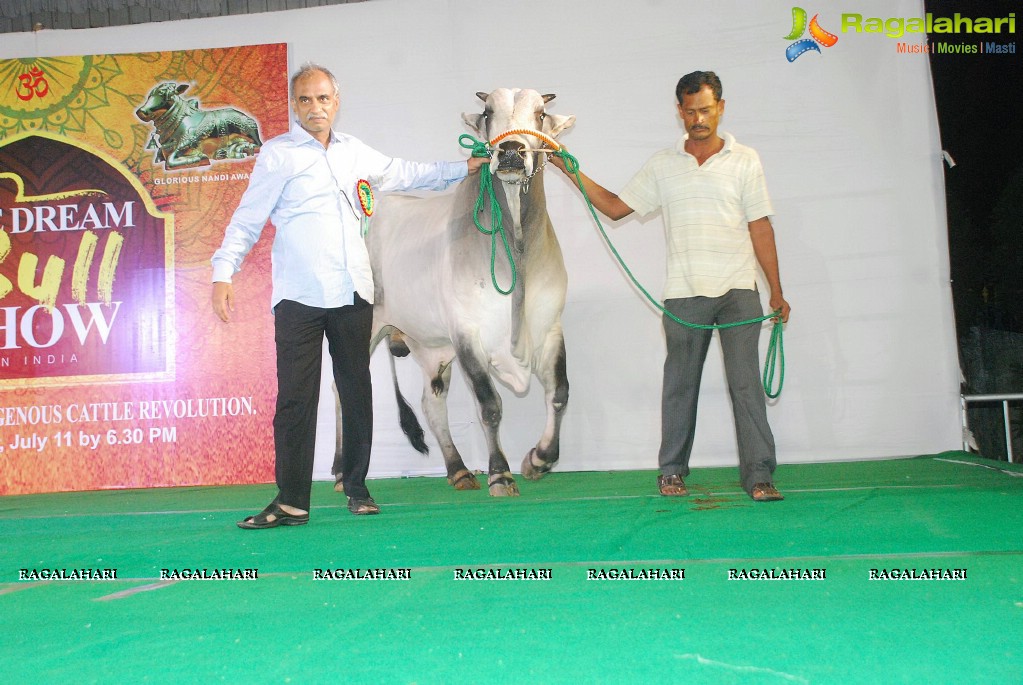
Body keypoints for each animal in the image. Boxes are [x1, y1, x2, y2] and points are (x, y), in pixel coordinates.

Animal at [337, 88, 572, 496]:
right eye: (487, 111)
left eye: (541, 114)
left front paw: (538, 459)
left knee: (431, 403)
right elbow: (490, 405)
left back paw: (458, 469)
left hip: (432, 346)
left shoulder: (550, 329)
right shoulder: (467, 335)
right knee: (340, 396)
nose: (511, 150)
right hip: (366, 328)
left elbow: (559, 394)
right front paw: (500, 473)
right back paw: (338, 472)